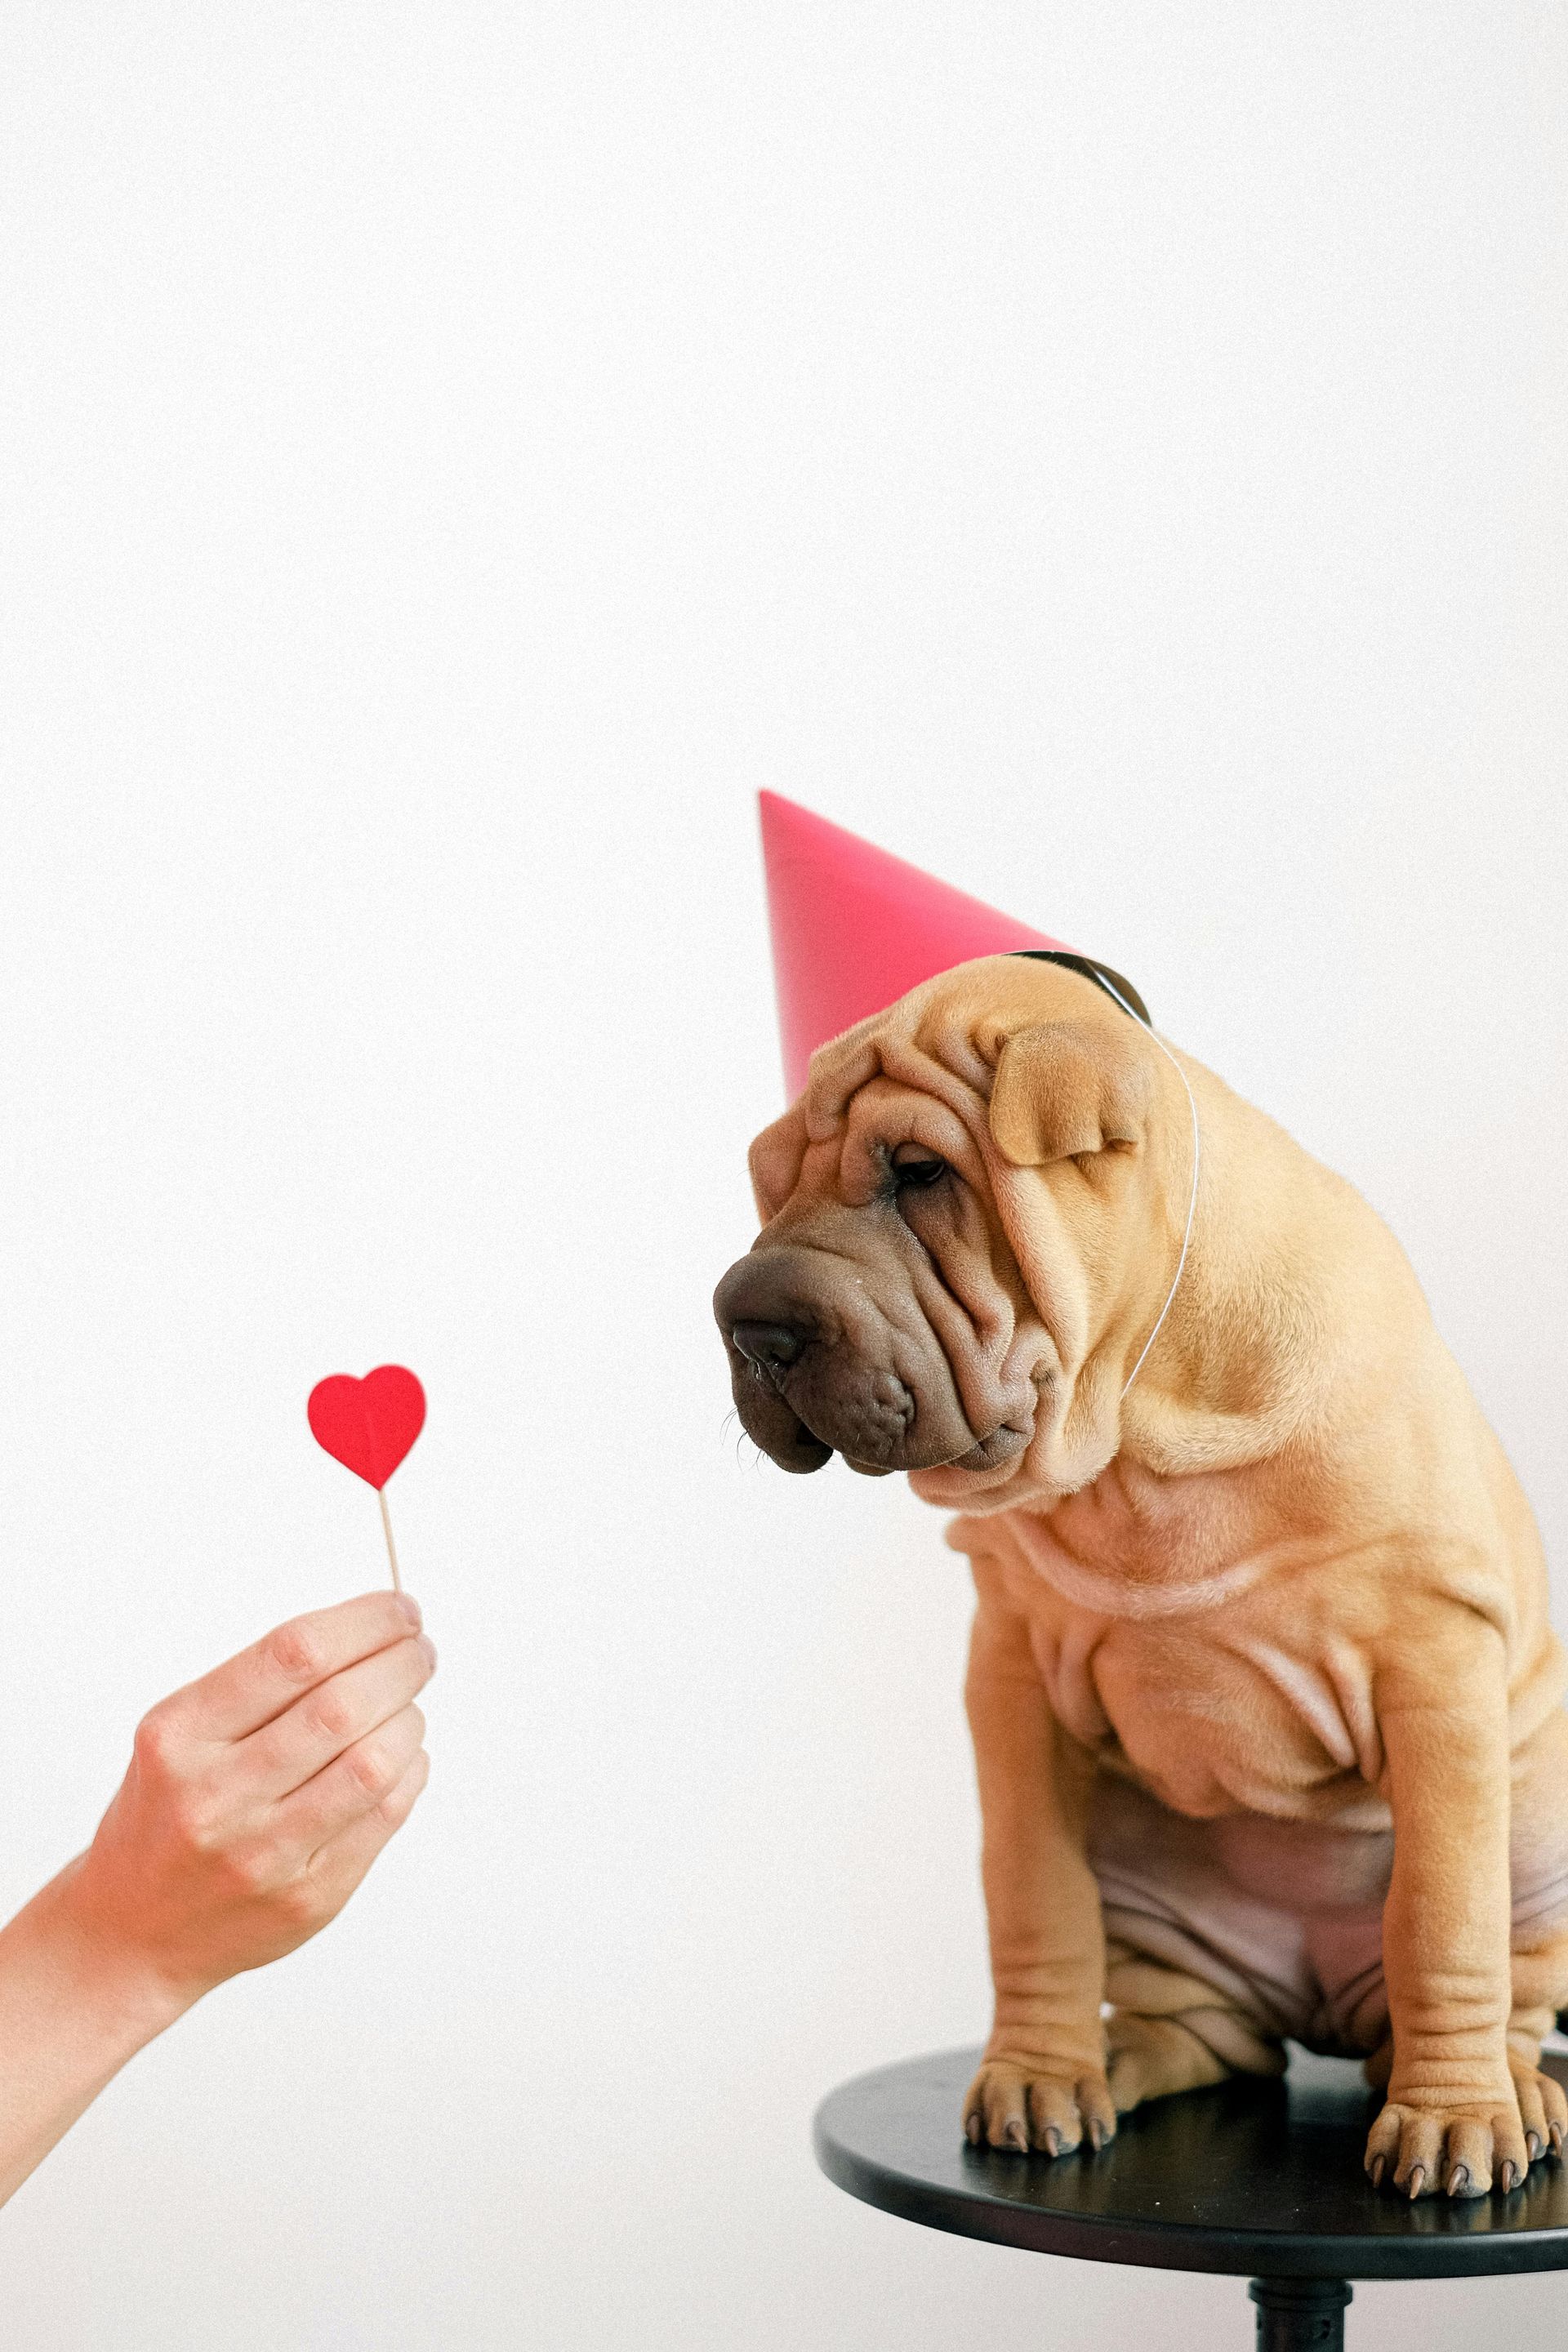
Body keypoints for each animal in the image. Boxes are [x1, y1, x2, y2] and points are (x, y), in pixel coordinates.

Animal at [715, 945, 1568, 2192]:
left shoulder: (1437, 1664)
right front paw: (1037, 2072)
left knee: (1506, 1979)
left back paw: (1511, 2087)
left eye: (921, 1174)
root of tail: (1315, 2002)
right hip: (1153, 1898)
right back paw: (1114, 2062)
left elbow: (1442, 1916)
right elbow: (1033, 1895)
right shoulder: (1011, 1679)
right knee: (1197, 2027)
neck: (1137, 1430)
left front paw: (1454, 2117)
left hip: (1541, 1844)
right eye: (773, 1183)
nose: (746, 1322)